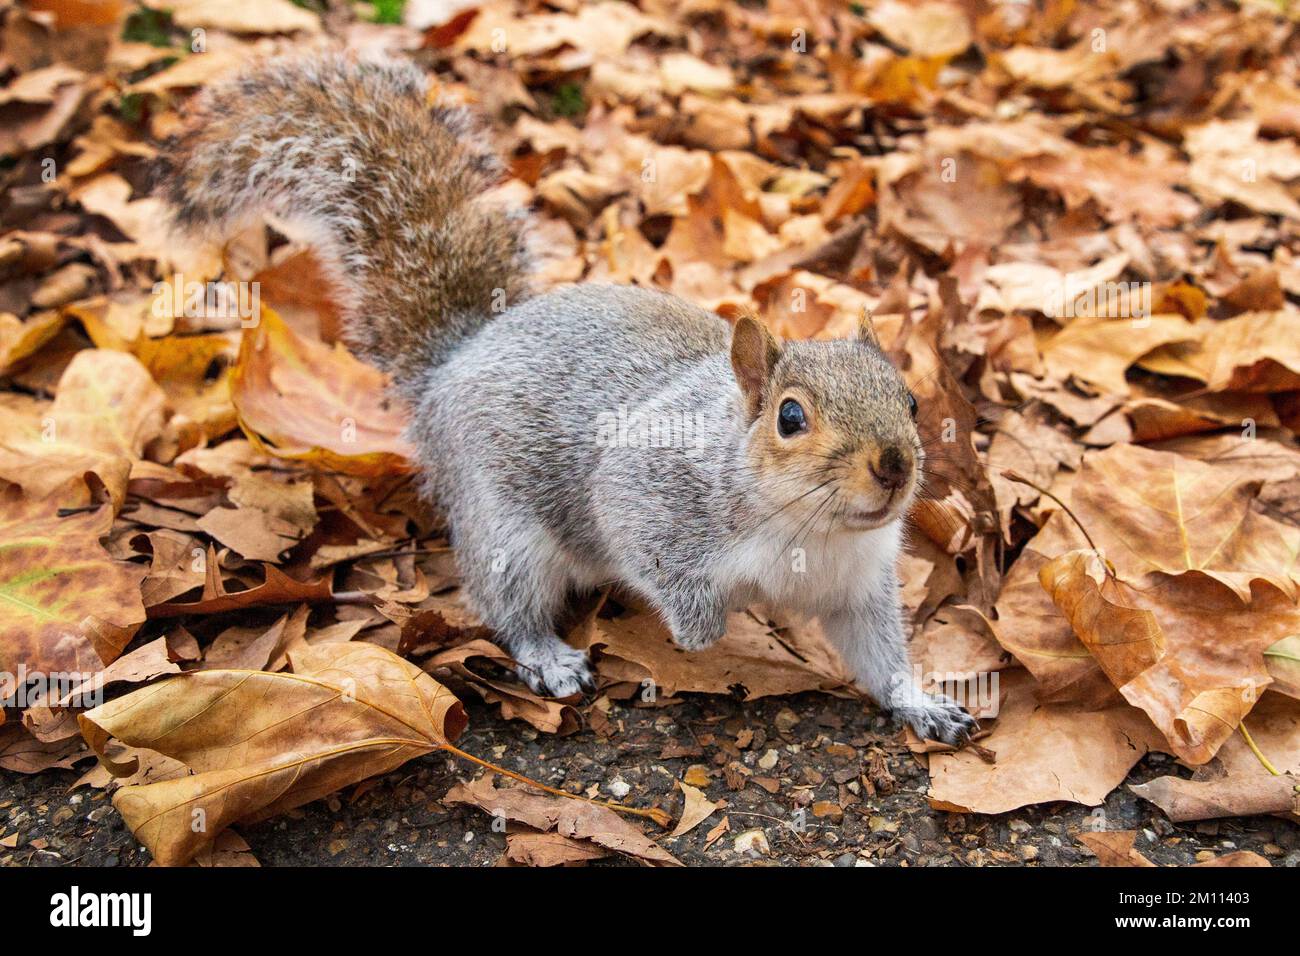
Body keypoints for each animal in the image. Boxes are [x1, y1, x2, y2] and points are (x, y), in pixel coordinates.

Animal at [159, 54, 977, 749]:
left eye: (910, 399)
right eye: (791, 417)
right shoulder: (650, 491)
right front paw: (706, 633)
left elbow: (879, 656)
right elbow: (654, 555)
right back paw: (550, 655)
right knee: (506, 603)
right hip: (504, 527)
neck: (810, 530)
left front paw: (921, 701)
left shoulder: (857, 585)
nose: (895, 466)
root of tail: (455, 362)